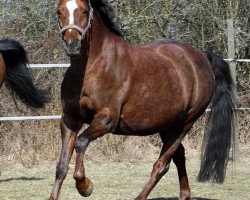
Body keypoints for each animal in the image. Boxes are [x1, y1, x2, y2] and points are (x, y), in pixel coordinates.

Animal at [49, 0, 236, 199]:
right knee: (179, 156)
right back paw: (184, 194)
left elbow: (81, 142)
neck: (91, 69)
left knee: (162, 165)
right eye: (59, 11)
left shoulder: (106, 120)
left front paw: (85, 186)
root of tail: (203, 57)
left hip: (185, 123)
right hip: (167, 125)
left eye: (84, 11)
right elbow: (62, 166)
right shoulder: (70, 120)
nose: (72, 44)